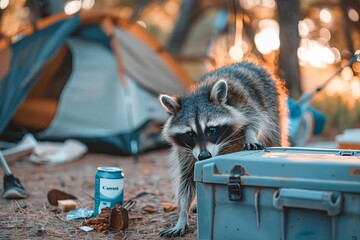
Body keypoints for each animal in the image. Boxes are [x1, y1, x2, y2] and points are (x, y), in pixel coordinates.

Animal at [159, 61, 288, 237]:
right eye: (190, 134)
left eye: (211, 130)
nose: (205, 156)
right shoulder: (185, 152)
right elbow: (186, 180)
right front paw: (182, 215)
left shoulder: (245, 102)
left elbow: (255, 121)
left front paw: (250, 135)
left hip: (275, 106)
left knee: (274, 132)